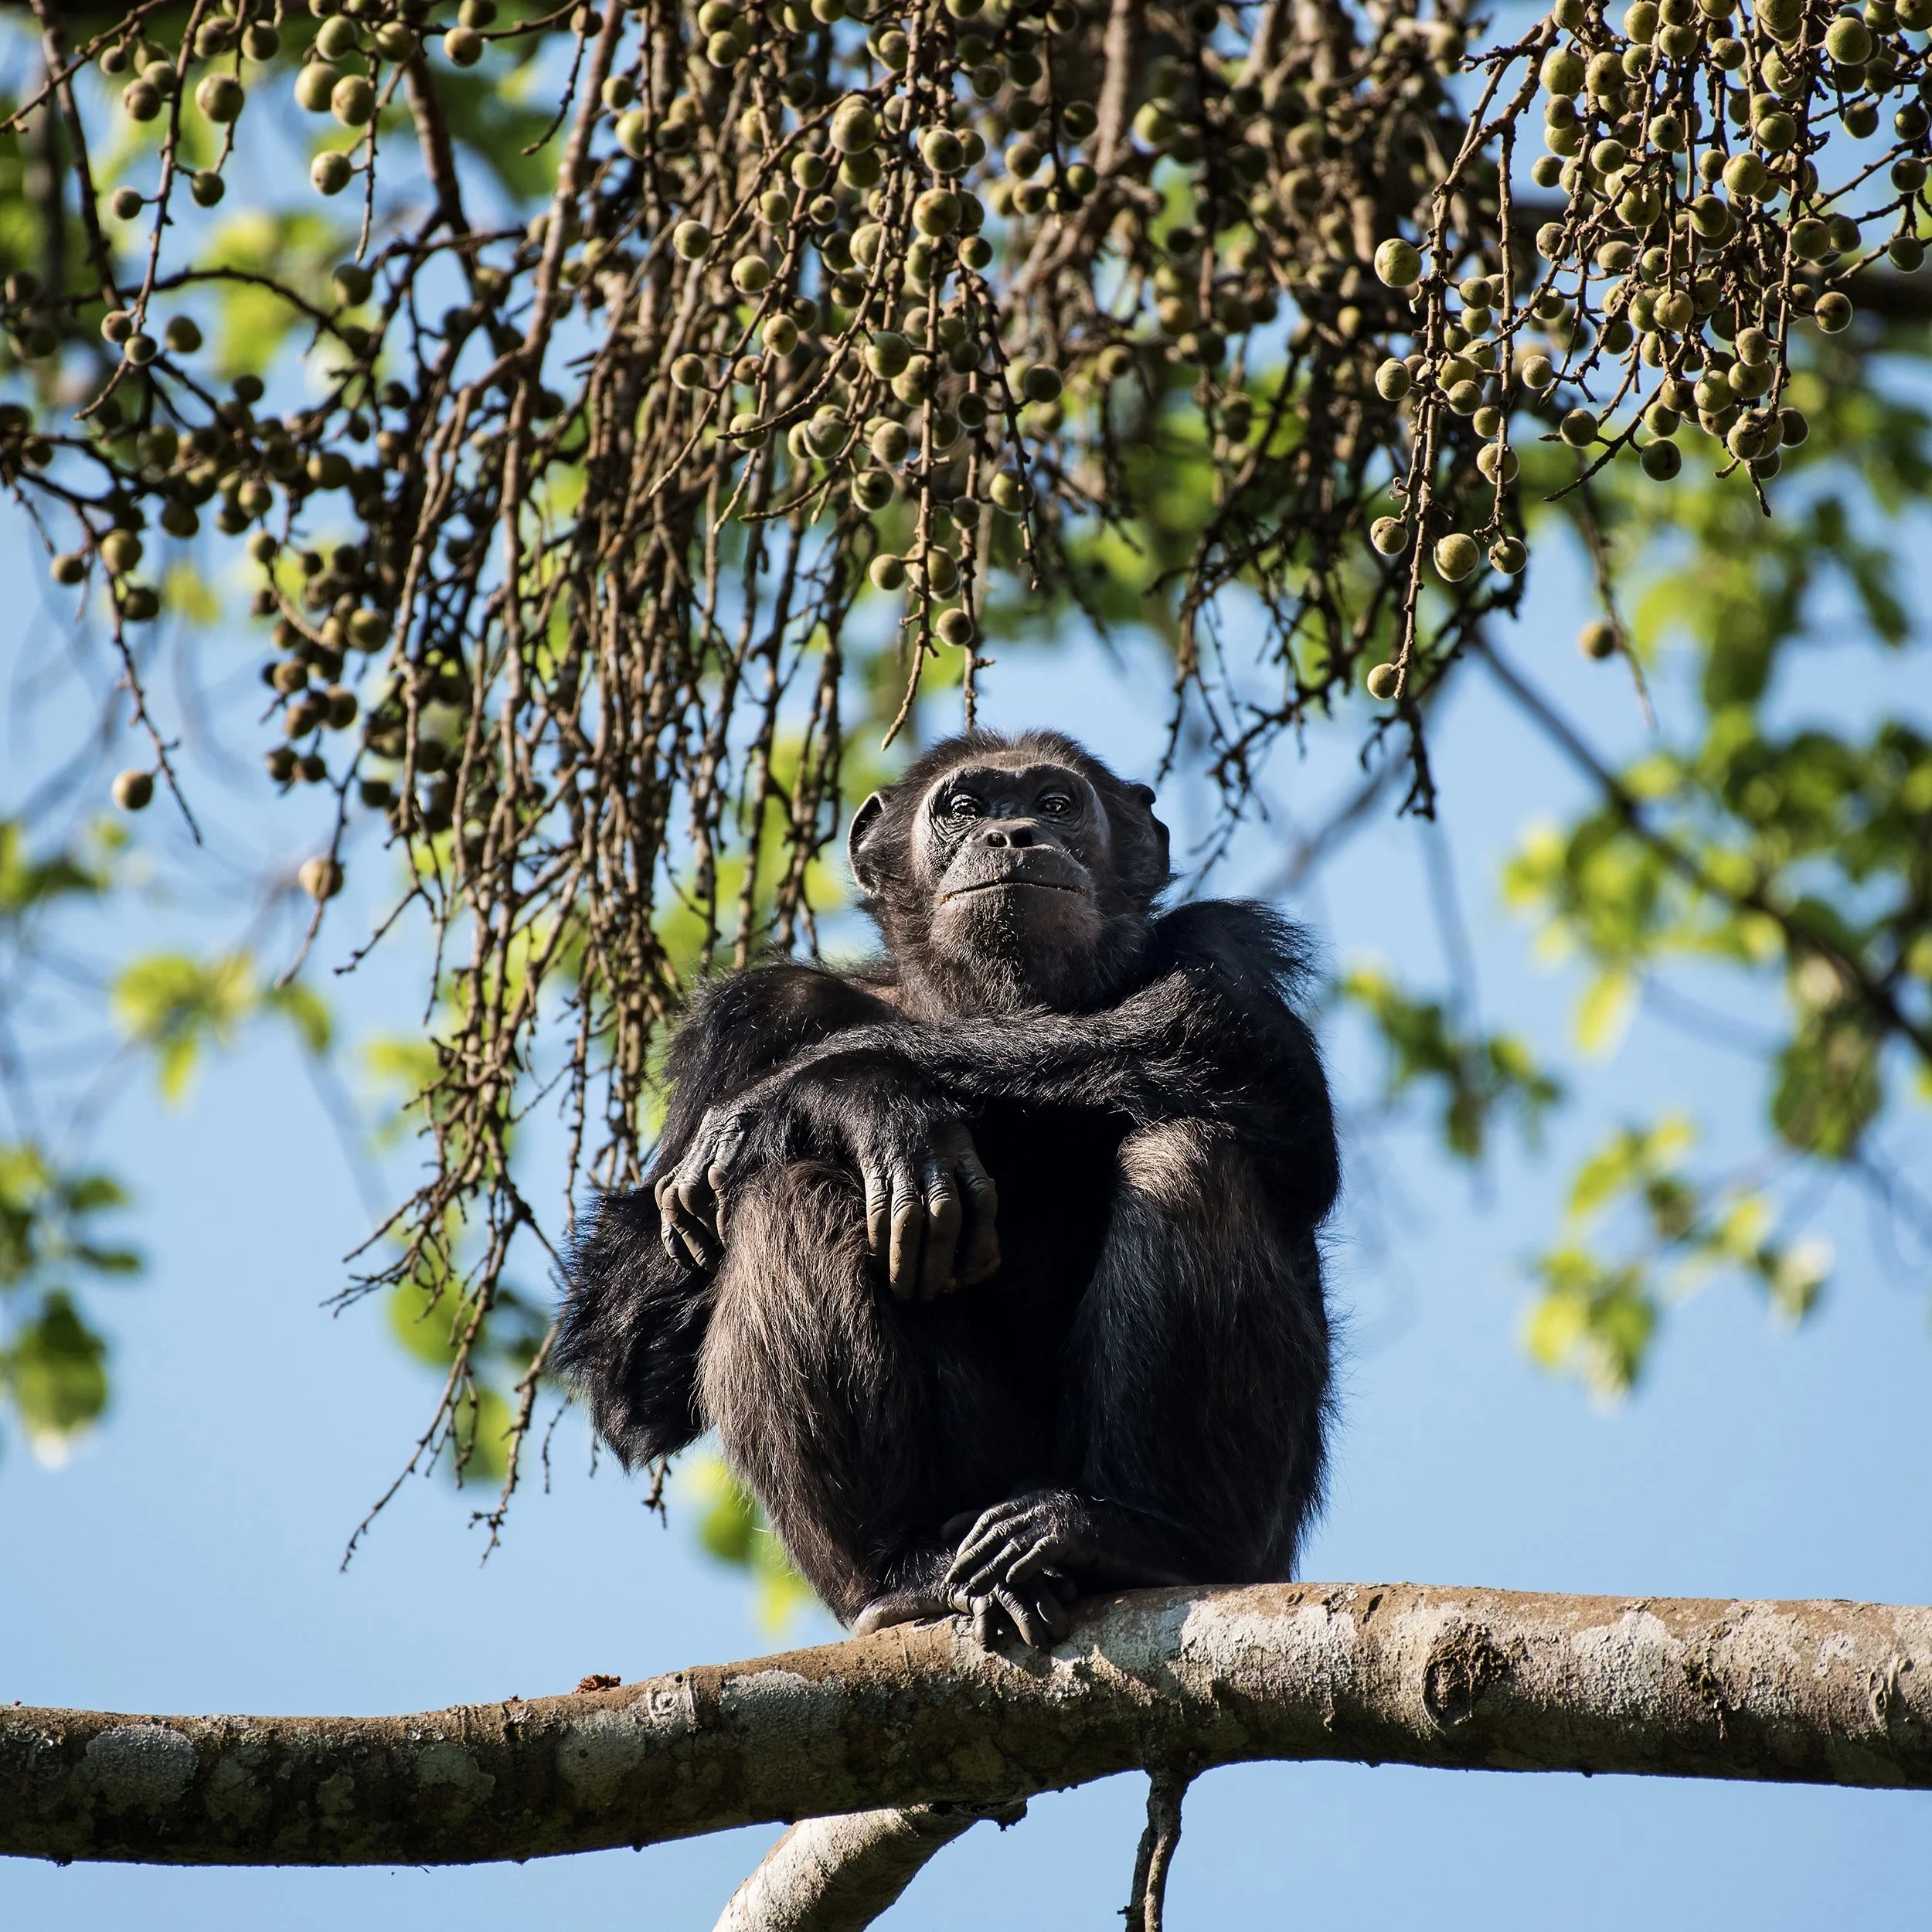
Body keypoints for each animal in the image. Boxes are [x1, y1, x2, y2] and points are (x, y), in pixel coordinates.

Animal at [556, 729, 1338, 1647]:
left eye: (1057, 803)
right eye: (964, 807)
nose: (1014, 834)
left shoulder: (1222, 938)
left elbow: (1245, 1055)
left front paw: (828, 1083)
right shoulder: (751, 1017)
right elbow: (628, 1349)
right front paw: (865, 1103)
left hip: (1253, 1541)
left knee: (1189, 1150)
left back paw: (1136, 1536)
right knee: (786, 1199)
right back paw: (905, 1571)